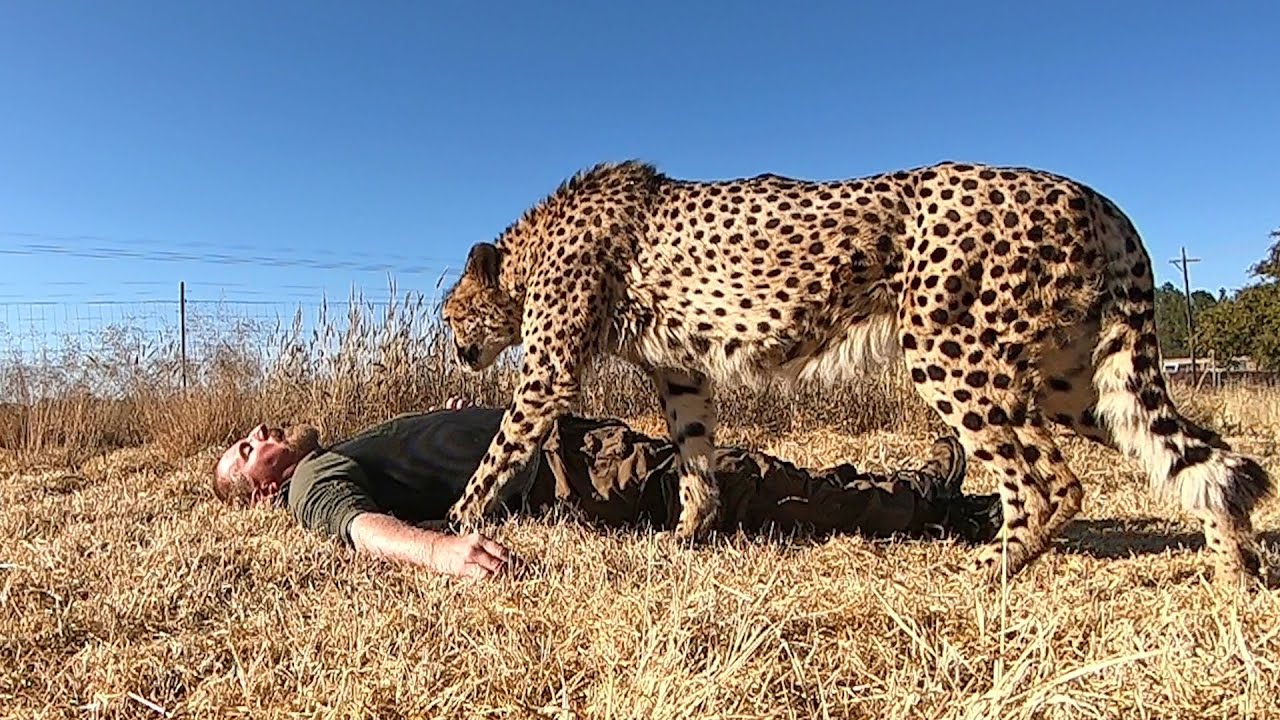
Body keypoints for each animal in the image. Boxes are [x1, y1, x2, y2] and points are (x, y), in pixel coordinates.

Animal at [440, 158, 1269, 584]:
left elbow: (498, 452)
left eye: (452, 315)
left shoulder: (550, 372)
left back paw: (984, 570)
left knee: (1048, 481)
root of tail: (1092, 194)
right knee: (1198, 459)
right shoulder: (681, 375)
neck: (529, 250)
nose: (454, 349)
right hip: (1074, 381)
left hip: (952, 351)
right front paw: (686, 539)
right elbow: (697, 460)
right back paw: (1237, 573)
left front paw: (455, 526)